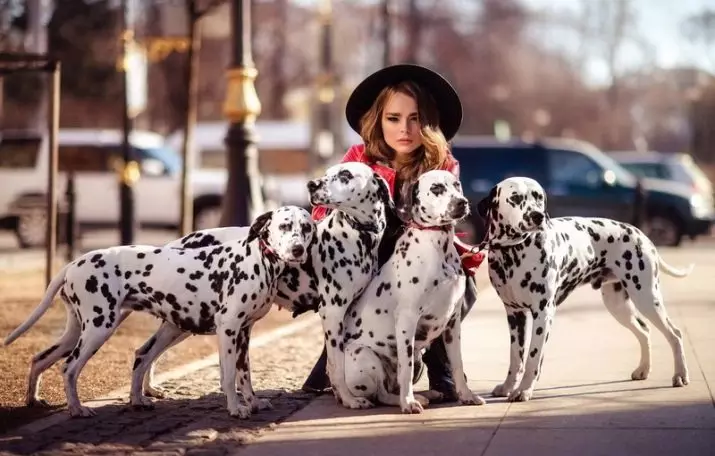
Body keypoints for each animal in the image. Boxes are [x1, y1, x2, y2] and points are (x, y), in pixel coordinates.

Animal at [2, 206, 316, 416]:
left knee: (41, 359)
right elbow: (228, 377)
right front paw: (236, 408)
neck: (258, 260)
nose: (298, 249)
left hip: (82, 332)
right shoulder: (228, 331)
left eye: (307, 228)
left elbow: (245, 375)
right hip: (99, 330)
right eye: (285, 226)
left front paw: (253, 402)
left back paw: (36, 400)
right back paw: (77, 409)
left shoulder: (244, 334)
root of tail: (74, 262)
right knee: (69, 368)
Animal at [129, 163, 398, 410]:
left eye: (345, 175)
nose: (312, 184)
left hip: (179, 324)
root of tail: (176, 243)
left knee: (144, 352)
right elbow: (337, 364)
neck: (356, 237)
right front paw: (349, 399)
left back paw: (146, 391)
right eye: (329, 172)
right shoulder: (332, 314)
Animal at [478, 176, 692, 400]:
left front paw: (524, 390)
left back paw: (680, 375)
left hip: (647, 298)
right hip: (619, 306)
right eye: (516, 198)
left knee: (675, 334)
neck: (512, 251)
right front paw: (508, 386)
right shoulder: (515, 316)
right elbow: (515, 358)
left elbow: (532, 359)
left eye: (538, 197)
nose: (537, 216)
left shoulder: (543, 314)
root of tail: (641, 234)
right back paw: (644, 369)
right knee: (644, 330)